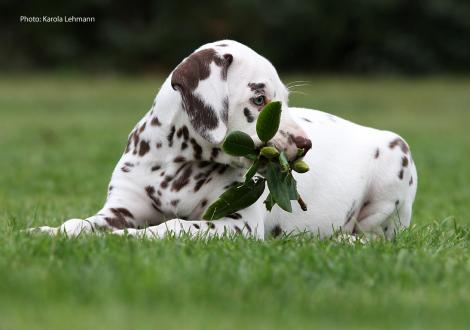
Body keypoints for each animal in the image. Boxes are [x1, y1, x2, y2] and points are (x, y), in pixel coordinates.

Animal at [28, 40, 418, 240]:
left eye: (285, 100)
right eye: (260, 99)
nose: (306, 144)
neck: (180, 164)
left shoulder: (237, 223)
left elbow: (170, 226)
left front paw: (122, 239)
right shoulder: (121, 208)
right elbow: (80, 223)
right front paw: (49, 230)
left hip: (397, 161)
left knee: (373, 235)